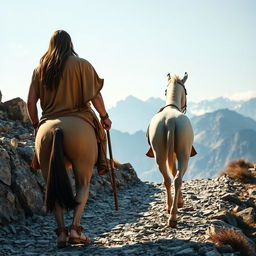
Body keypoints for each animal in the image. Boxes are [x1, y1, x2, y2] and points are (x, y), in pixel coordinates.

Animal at [148, 73, 194, 227]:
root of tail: (170, 121)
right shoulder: (176, 155)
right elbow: (176, 174)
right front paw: (180, 201)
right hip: (184, 155)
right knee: (177, 179)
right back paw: (173, 215)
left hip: (160, 155)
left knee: (167, 179)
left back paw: (169, 209)